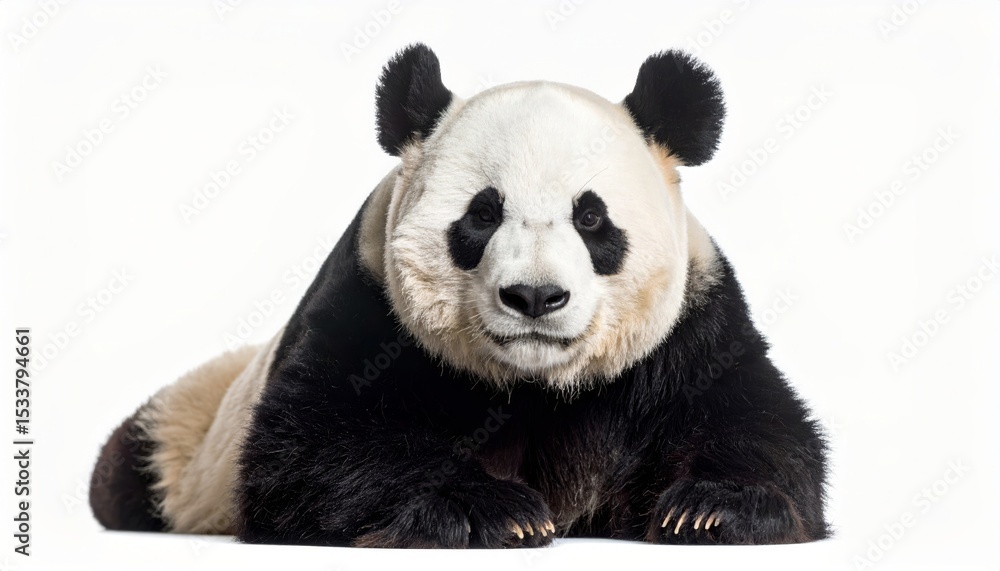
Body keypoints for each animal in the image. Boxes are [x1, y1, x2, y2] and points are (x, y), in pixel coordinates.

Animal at [89, 44, 828, 548]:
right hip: (188, 438)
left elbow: (765, 429)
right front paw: (495, 511)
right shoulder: (368, 308)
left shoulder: (693, 328)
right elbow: (308, 449)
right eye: (482, 214)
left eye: (592, 218)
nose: (535, 296)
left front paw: (708, 506)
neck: (538, 384)